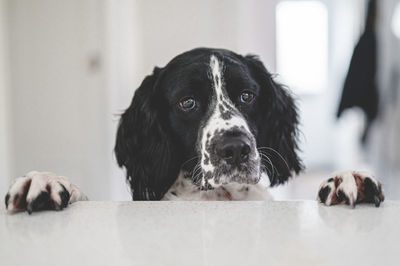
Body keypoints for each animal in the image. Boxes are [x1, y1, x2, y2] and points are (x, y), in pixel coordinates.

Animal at [3, 47, 384, 214]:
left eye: (247, 95)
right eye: (187, 103)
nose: (235, 149)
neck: (220, 197)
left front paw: (347, 179)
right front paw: (46, 181)